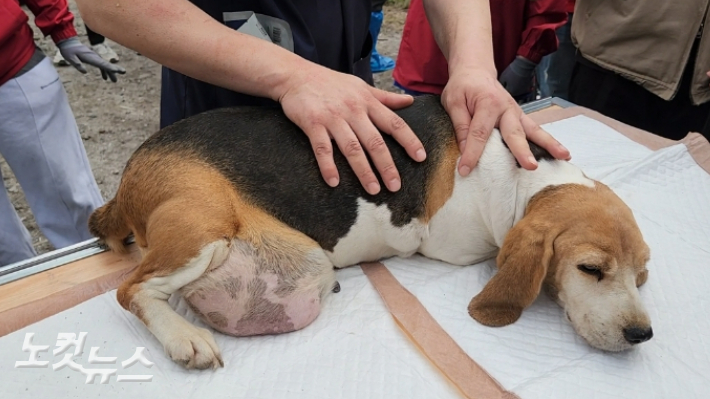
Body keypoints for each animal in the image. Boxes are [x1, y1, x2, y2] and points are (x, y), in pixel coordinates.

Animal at [90, 95, 656, 370]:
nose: (640, 334)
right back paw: (184, 339)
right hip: (205, 228)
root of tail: (130, 174)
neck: (528, 177)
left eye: (641, 275)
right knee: (130, 290)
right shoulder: (459, 246)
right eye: (590, 269)